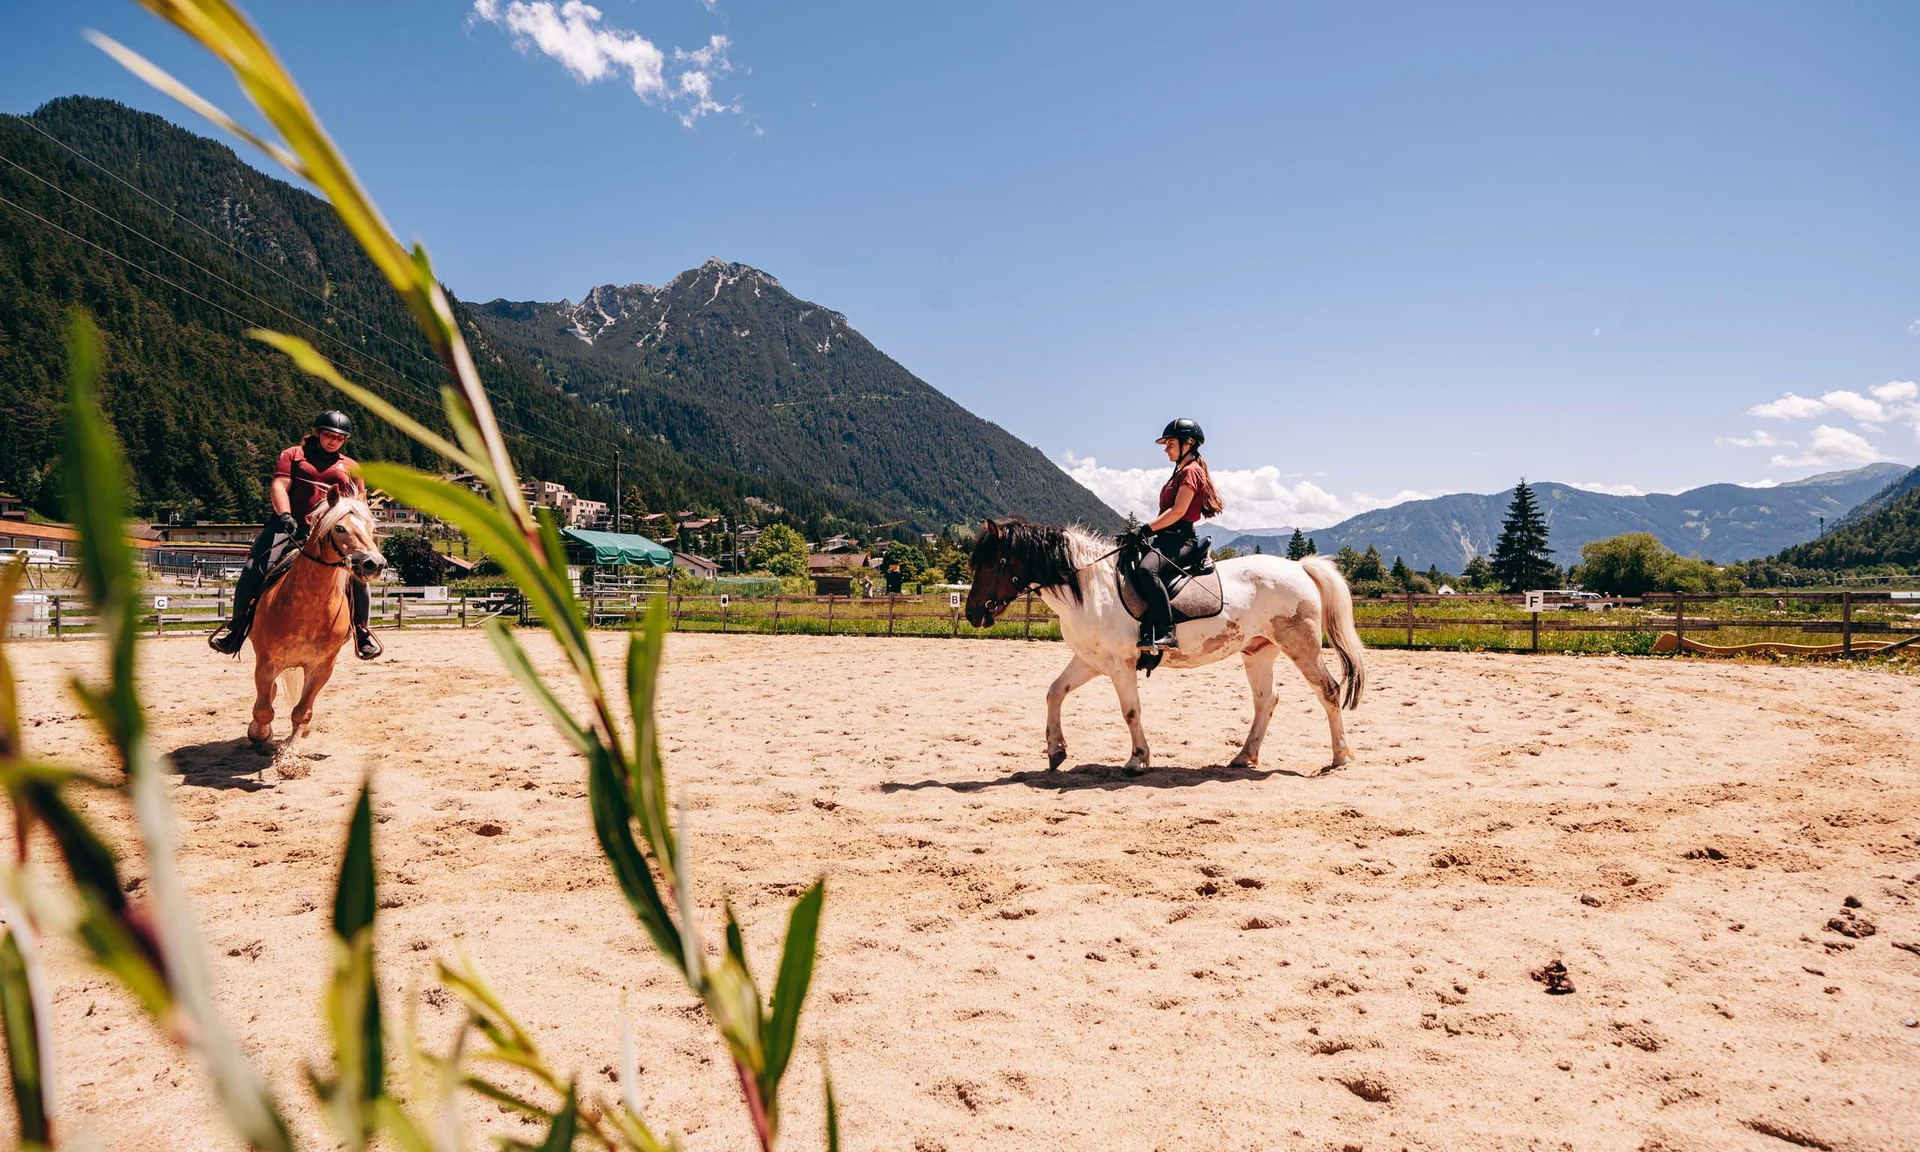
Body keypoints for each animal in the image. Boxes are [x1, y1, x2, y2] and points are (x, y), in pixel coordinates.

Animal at [246, 485, 385, 745]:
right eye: (340, 528)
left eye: (371, 527)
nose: (375, 564)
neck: (309, 608)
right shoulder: (267, 662)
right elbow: (263, 710)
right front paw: (259, 734)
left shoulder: (322, 666)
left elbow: (302, 711)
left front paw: (293, 746)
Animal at [965, 520, 1366, 774]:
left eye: (993, 562)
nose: (972, 613)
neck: (1093, 589)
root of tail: (1299, 568)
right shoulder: (1091, 660)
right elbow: (1054, 692)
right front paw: (1056, 751)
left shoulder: (1120, 665)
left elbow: (1130, 712)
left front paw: (1137, 760)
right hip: (1258, 651)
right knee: (1266, 701)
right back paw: (1244, 757)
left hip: (1302, 646)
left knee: (1329, 691)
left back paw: (1340, 758)